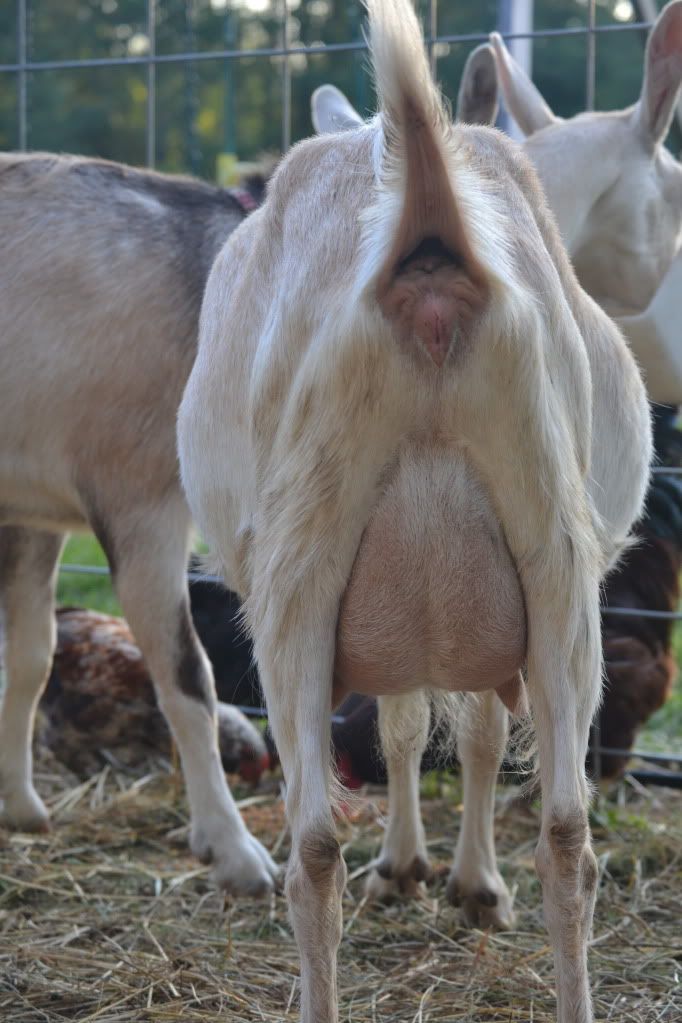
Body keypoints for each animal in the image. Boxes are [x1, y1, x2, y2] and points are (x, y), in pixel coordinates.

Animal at [0, 156, 279, 895]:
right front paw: (234, 850)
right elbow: (188, 678)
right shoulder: (142, 503)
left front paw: (19, 803)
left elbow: (31, 658)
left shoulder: (34, 509)